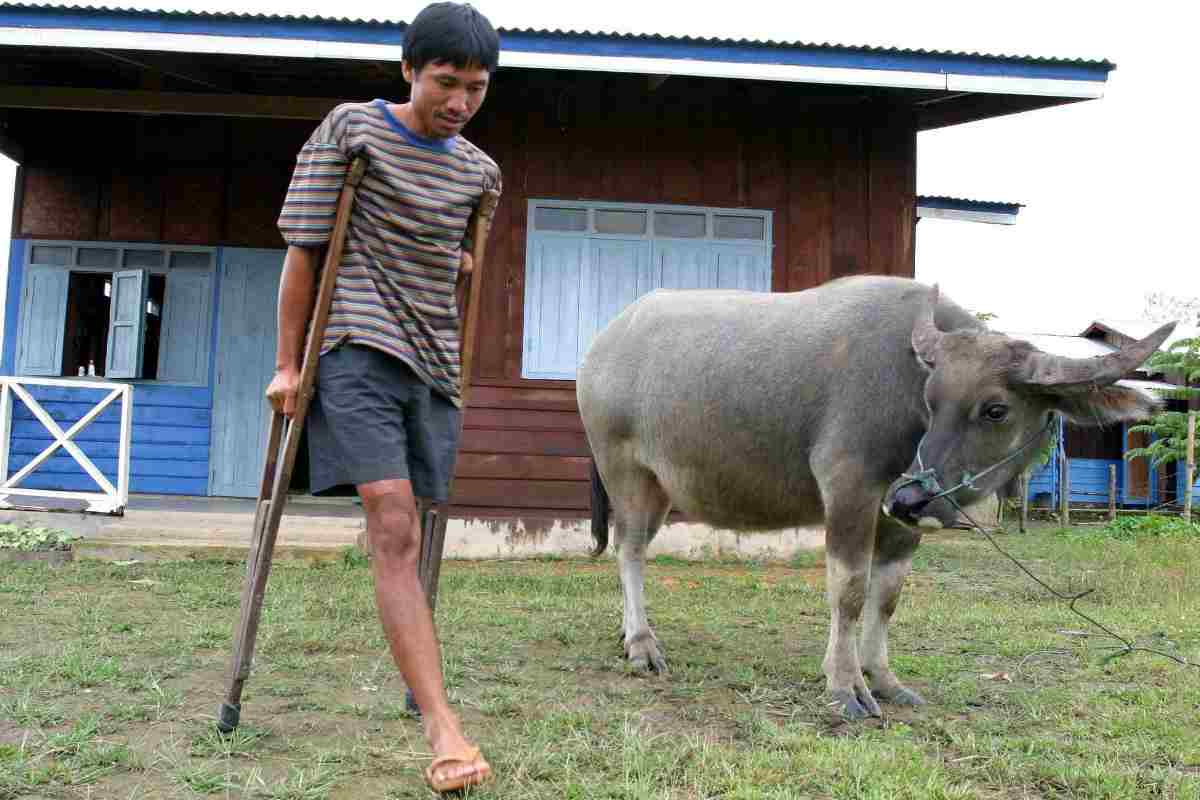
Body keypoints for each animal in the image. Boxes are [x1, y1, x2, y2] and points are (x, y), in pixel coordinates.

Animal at [578, 275, 1171, 719]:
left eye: (995, 409)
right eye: (933, 400)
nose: (911, 497)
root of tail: (605, 344)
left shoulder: (897, 523)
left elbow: (886, 597)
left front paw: (882, 678)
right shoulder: (851, 491)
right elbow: (849, 590)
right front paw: (845, 685)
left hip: (659, 487)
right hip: (626, 474)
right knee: (630, 551)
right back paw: (642, 643)